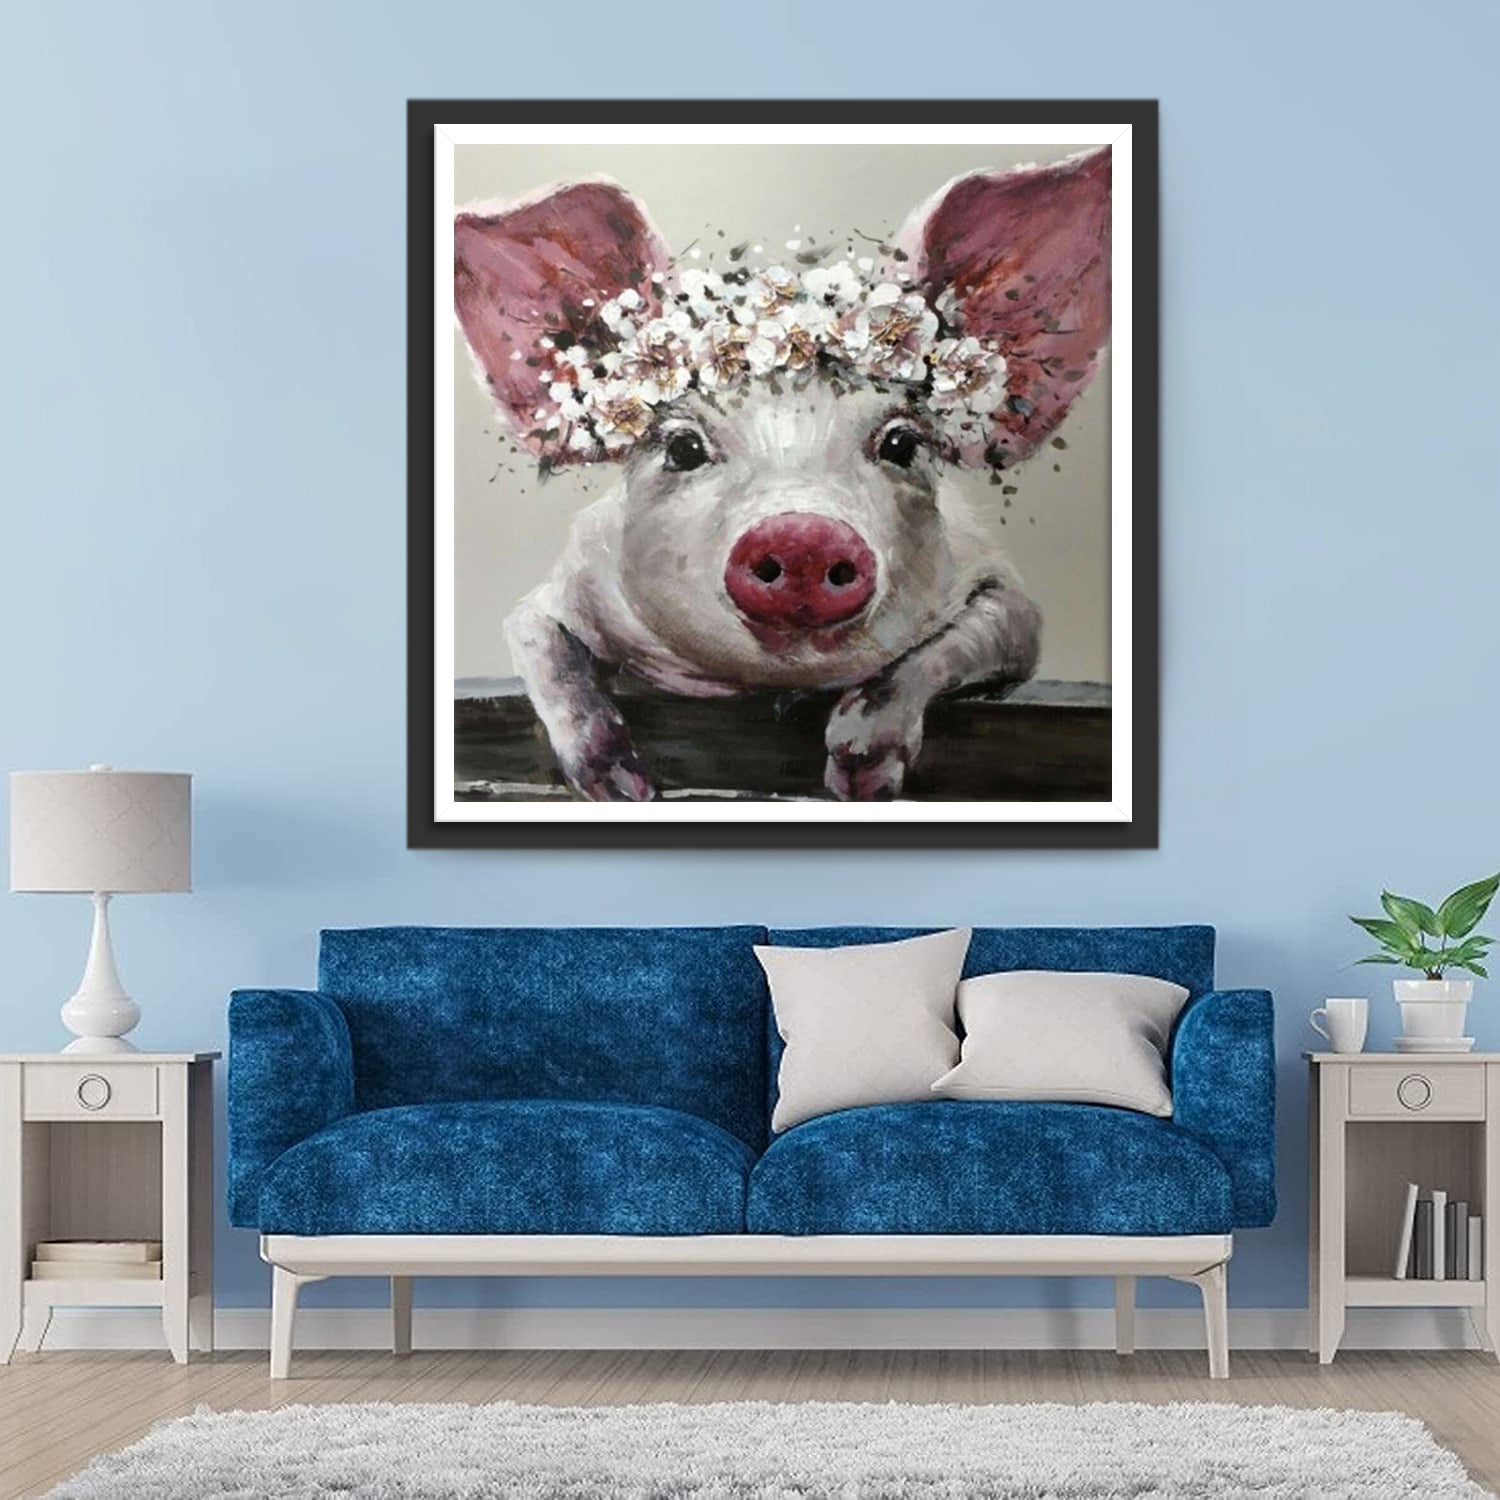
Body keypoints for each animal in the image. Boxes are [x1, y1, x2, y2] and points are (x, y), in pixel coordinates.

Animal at [453, 148, 1110, 800]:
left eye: (902, 442)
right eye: (683, 446)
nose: (803, 536)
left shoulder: (1011, 604)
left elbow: (956, 645)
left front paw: (861, 775)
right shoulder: (567, 584)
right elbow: (538, 638)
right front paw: (622, 786)